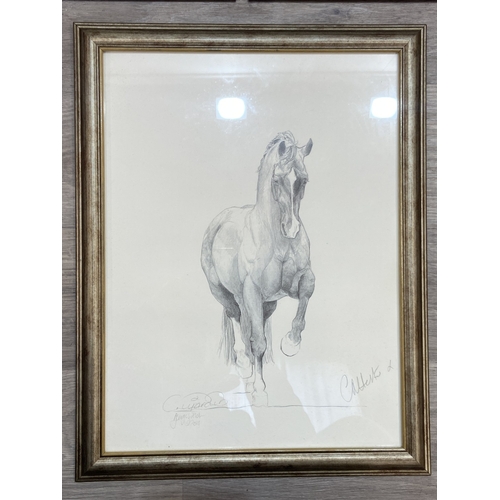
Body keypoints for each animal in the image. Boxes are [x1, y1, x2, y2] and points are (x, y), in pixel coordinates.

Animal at [200, 131, 315, 406]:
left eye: (303, 180)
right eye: (276, 179)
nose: (292, 229)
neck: (278, 242)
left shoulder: (297, 282)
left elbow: (306, 293)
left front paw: (291, 343)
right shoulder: (252, 292)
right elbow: (258, 343)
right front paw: (260, 391)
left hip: (266, 304)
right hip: (225, 293)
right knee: (237, 322)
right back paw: (243, 364)